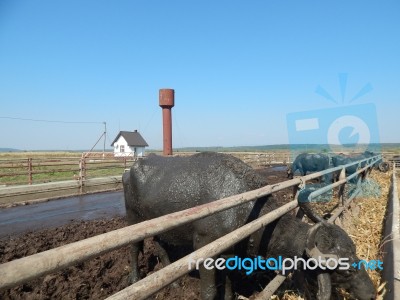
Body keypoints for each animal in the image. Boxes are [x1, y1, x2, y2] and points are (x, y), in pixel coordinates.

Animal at [123, 152, 376, 300]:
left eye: (356, 254)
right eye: (346, 270)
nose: (373, 293)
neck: (245, 210)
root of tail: (132, 169)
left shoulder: (227, 255)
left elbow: (226, 285)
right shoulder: (204, 249)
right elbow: (209, 291)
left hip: (161, 229)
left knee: (161, 247)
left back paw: (174, 285)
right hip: (133, 220)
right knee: (135, 248)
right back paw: (135, 279)